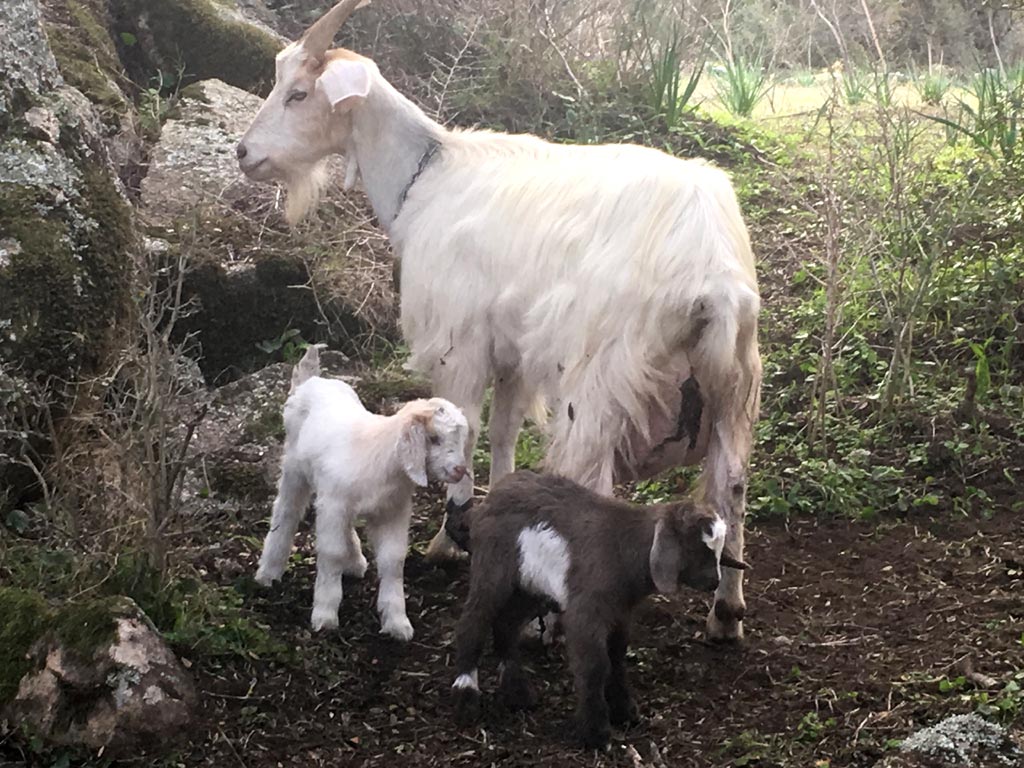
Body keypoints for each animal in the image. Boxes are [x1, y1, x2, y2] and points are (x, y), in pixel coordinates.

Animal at [256, 346, 468, 638]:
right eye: (434, 439)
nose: (460, 470)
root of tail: (312, 381)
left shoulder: (391, 510)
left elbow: (393, 560)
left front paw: (397, 622)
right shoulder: (334, 505)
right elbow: (331, 552)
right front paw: (325, 615)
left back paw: (355, 561)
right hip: (295, 470)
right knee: (286, 513)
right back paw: (269, 572)